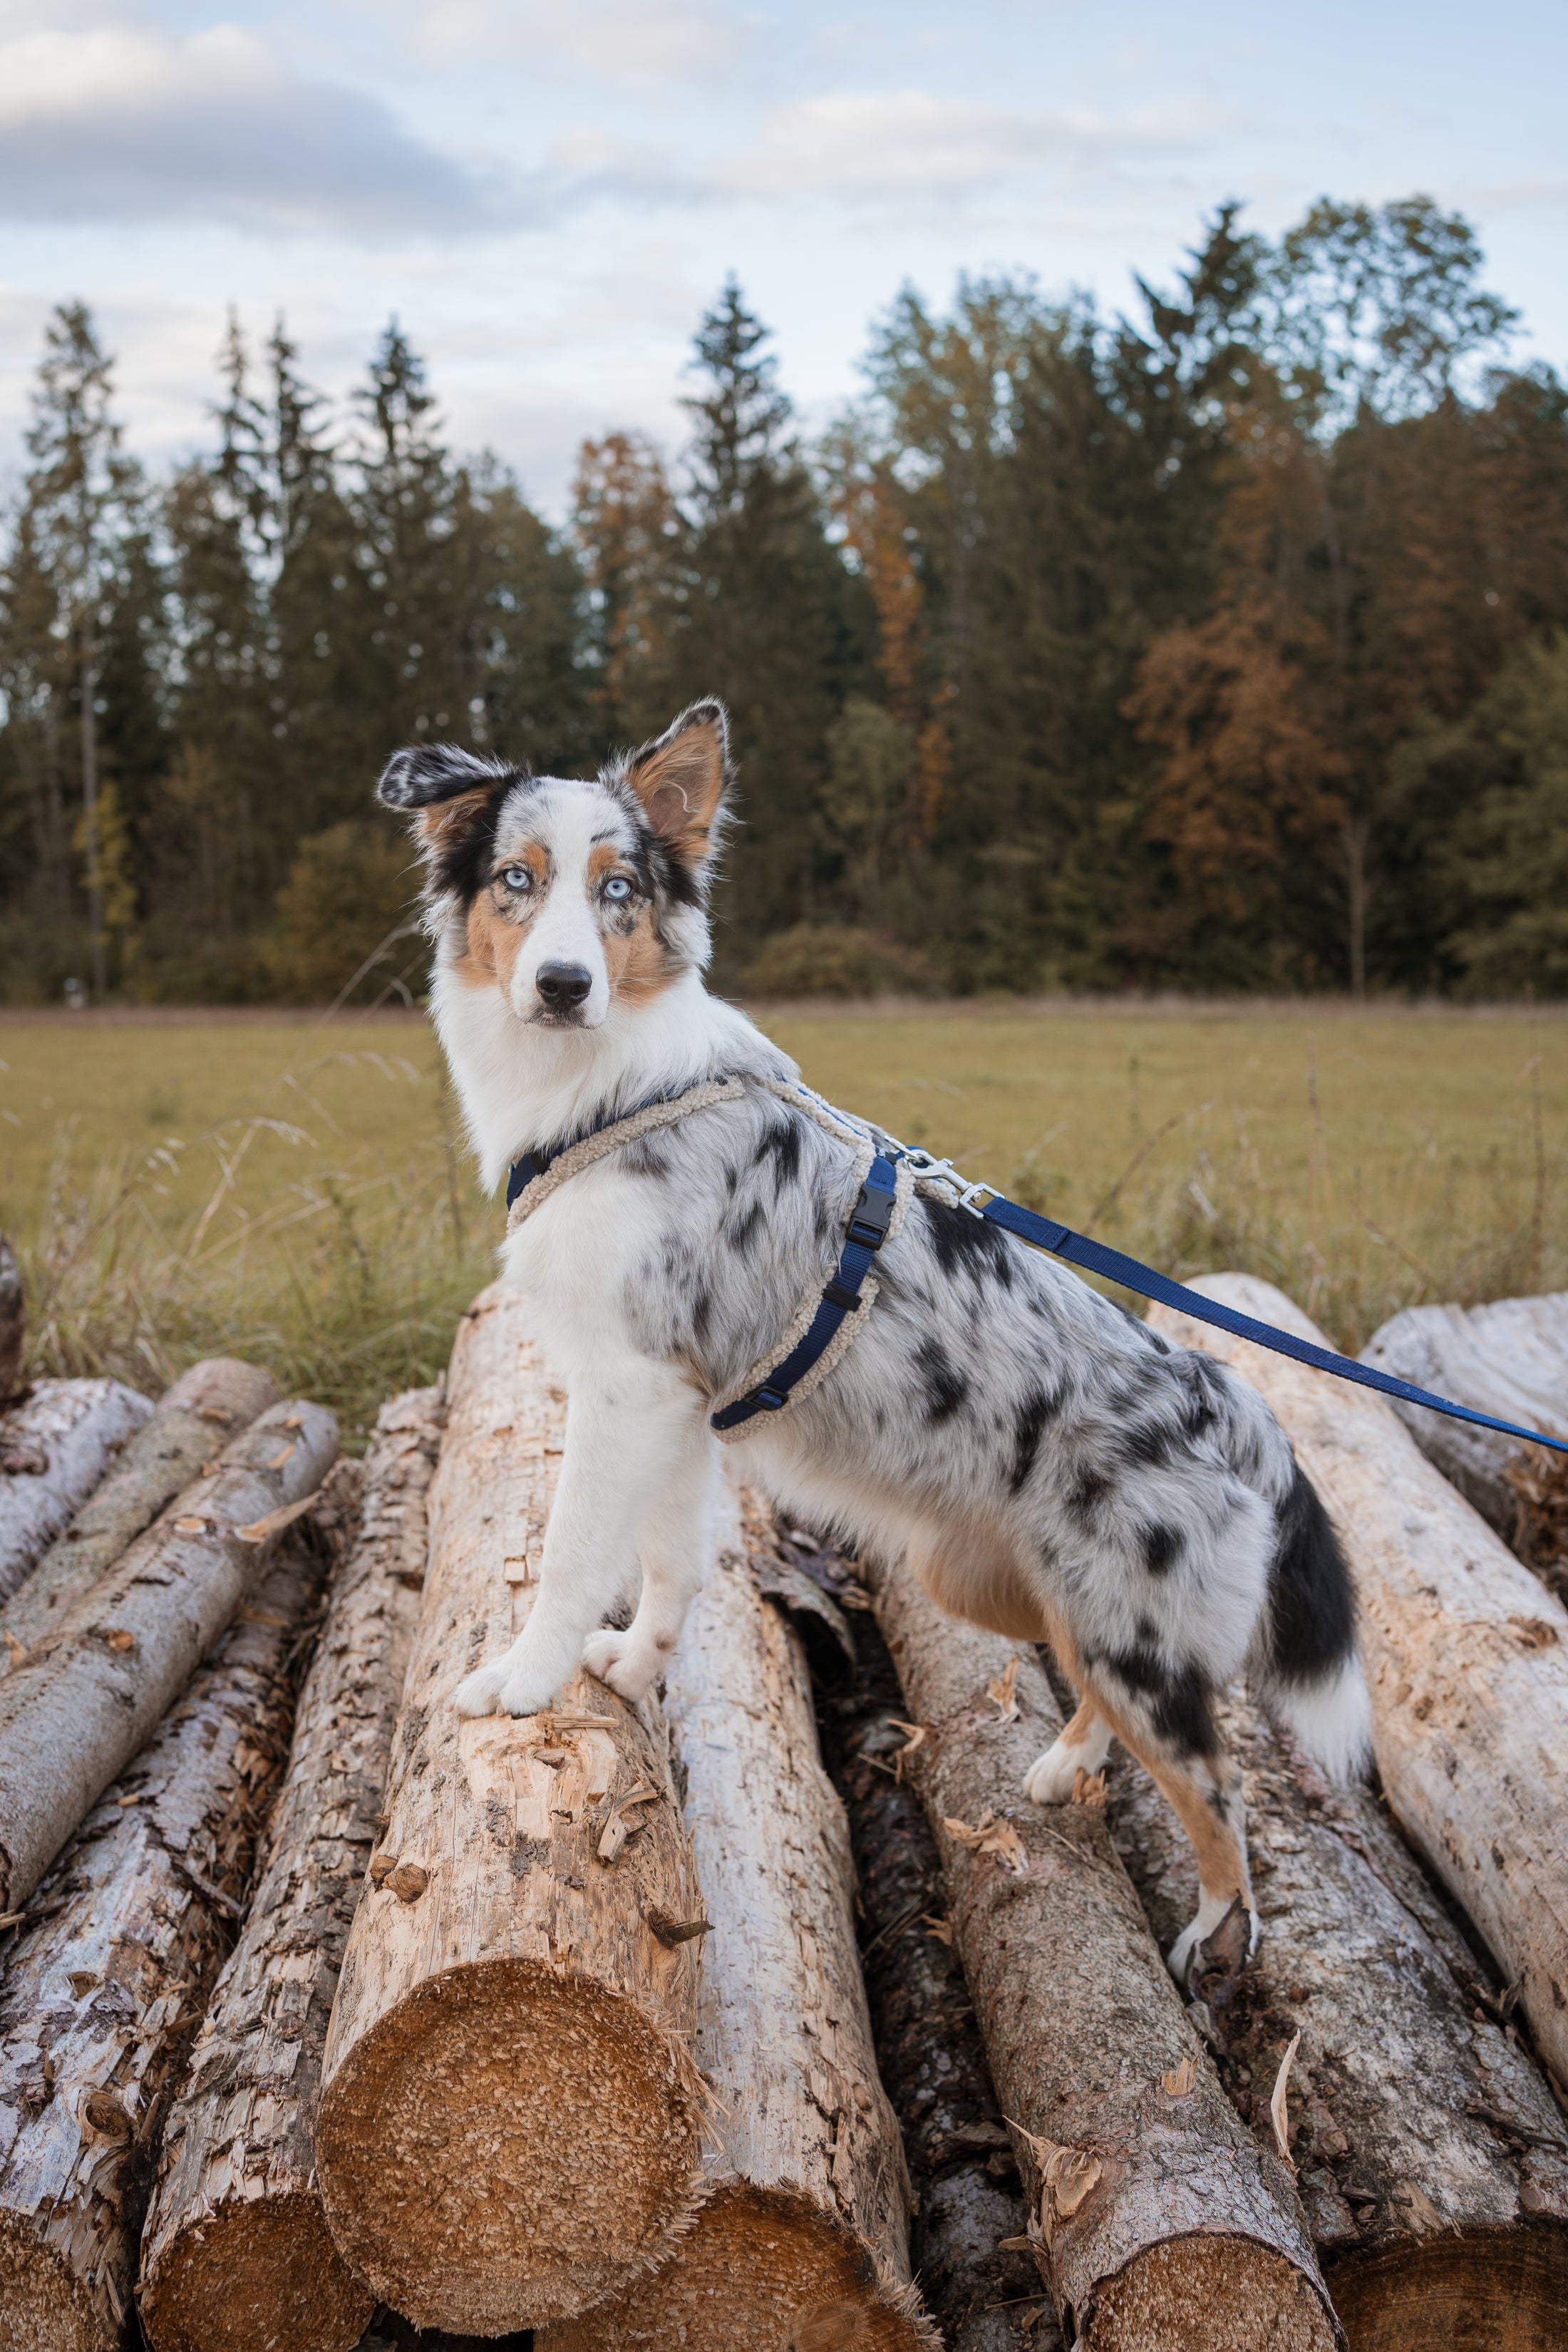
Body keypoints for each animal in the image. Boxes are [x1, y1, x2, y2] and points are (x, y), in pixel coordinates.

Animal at [373, 701, 1363, 1985]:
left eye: (619, 890)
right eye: (516, 880)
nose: (562, 983)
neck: (609, 1088)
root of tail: (1234, 1402)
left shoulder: (629, 1390)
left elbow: (573, 1553)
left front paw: (526, 1681)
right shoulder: (674, 1401)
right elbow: (672, 1558)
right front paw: (637, 1668)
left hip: (1131, 1635)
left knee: (1219, 1793)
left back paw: (1214, 1937)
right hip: (1004, 1588)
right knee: (1119, 1711)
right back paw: (1067, 1765)